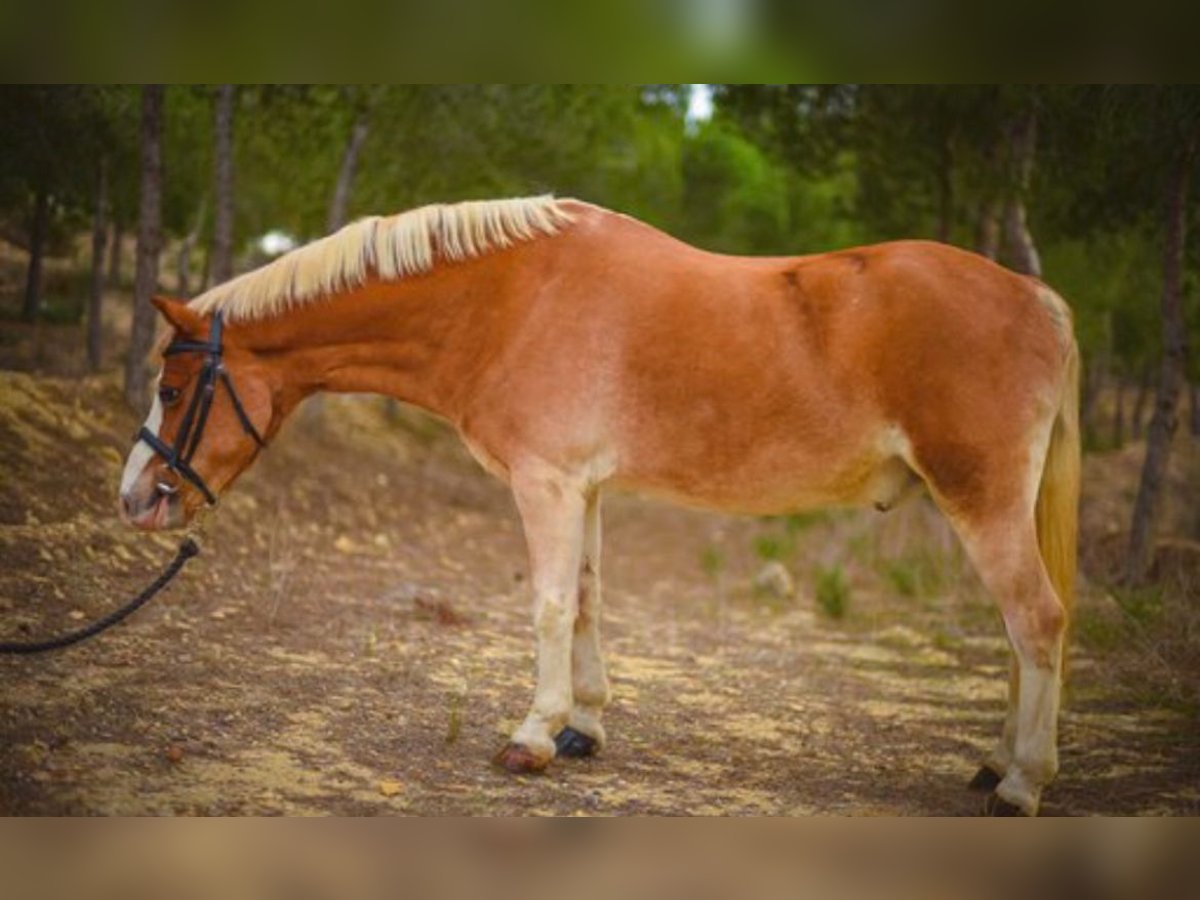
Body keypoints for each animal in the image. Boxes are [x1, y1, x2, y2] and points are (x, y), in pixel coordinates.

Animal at [119, 196, 1080, 816]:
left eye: (172, 389)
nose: (136, 499)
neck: (509, 298)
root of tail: (1038, 297)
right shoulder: (583, 490)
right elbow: (584, 600)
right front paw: (583, 728)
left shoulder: (545, 483)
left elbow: (547, 606)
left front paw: (533, 737)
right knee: (1016, 633)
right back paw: (997, 764)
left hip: (983, 499)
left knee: (1035, 621)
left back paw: (1022, 782)